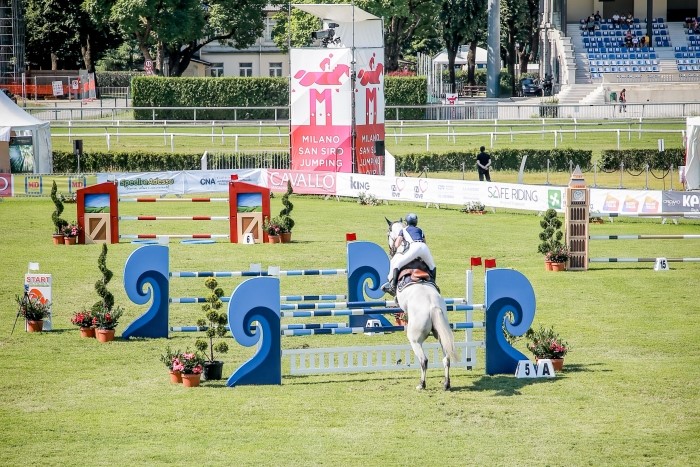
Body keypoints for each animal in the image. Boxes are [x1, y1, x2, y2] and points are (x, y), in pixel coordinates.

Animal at [386, 219, 456, 392]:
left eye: (388, 233)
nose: (391, 250)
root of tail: (433, 307)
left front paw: (389, 289)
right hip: (441, 334)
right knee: (446, 358)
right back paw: (446, 384)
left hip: (415, 338)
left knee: (424, 360)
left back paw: (421, 384)